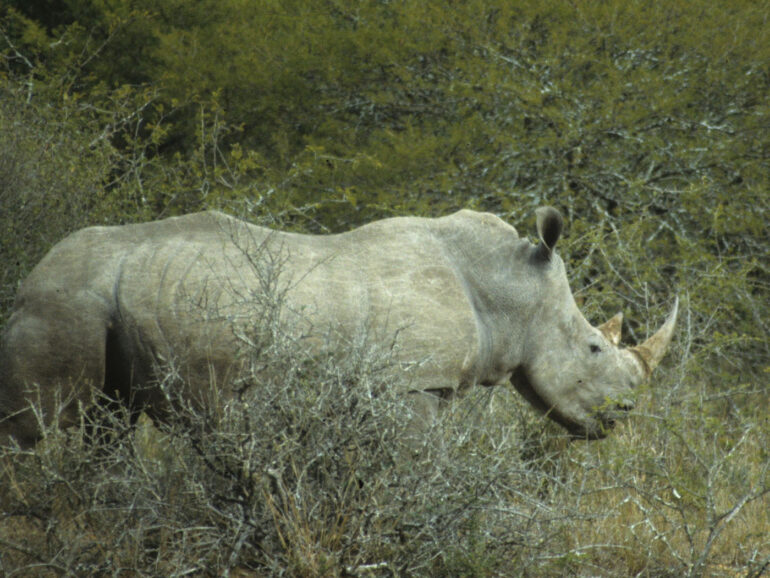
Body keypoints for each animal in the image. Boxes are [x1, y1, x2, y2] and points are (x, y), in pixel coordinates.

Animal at [0, 207, 677, 448]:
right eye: (593, 347)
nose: (621, 419)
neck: (505, 286)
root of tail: (30, 275)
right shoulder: (413, 384)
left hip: (105, 299)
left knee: (108, 421)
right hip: (64, 298)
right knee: (38, 428)